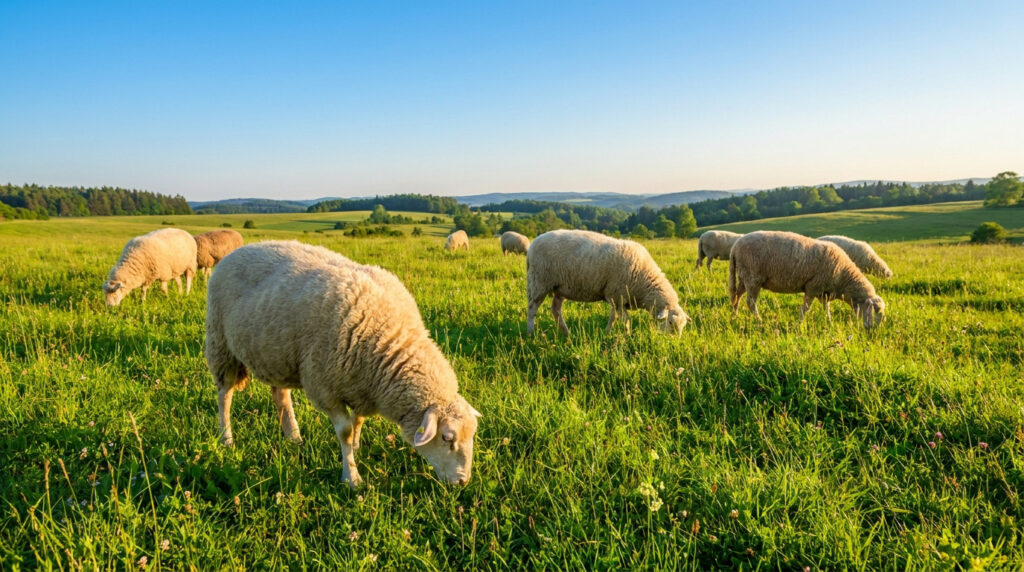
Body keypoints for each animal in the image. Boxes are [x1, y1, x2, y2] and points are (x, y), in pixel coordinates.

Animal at [205, 240, 481, 487]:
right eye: (447, 437)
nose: (462, 482)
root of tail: (239, 249)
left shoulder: (361, 387)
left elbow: (358, 422)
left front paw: (356, 449)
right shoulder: (324, 388)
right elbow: (345, 431)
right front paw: (352, 477)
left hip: (276, 354)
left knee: (280, 396)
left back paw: (293, 436)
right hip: (220, 345)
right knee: (224, 395)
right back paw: (226, 437)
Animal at [526, 229, 690, 335]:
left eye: (683, 326)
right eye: (670, 322)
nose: (673, 341)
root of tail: (533, 244)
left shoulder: (617, 298)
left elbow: (614, 317)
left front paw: (607, 332)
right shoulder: (618, 296)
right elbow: (624, 320)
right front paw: (627, 335)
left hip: (559, 288)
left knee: (555, 310)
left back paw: (567, 333)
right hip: (539, 282)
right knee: (532, 308)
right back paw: (530, 333)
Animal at [728, 230, 886, 329]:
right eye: (877, 312)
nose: (872, 331)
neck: (844, 277)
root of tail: (735, 246)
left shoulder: (824, 292)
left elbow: (826, 308)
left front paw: (829, 322)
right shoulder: (813, 287)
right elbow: (806, 308)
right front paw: (800, 324)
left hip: (744, 277)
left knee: (737, 296)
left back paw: (734, 316)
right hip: (753, 277)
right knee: (750, 302)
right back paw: (759, 321)